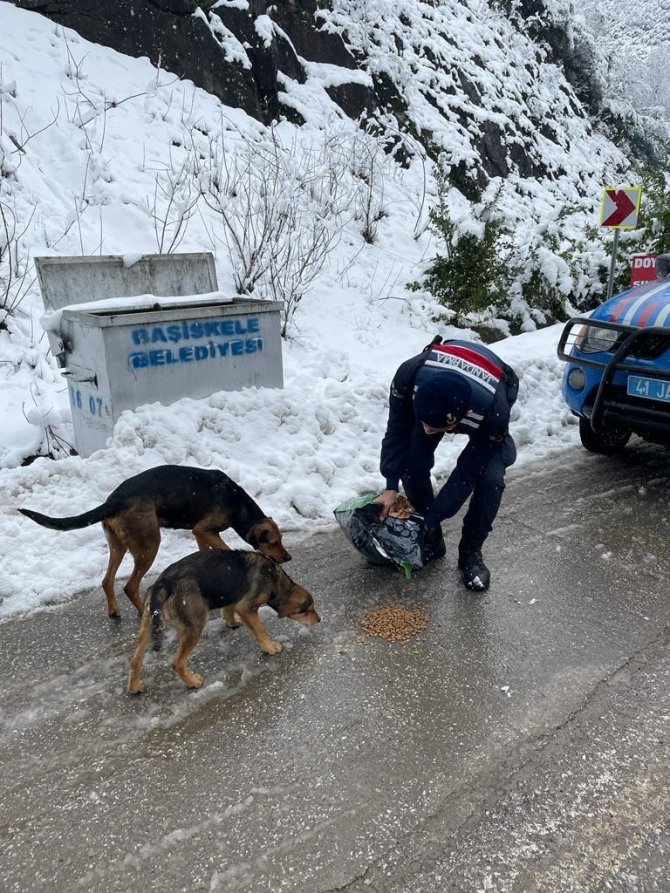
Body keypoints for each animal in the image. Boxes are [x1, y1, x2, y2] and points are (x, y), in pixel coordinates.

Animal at [17, 464, 292, 616]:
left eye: (281, 540)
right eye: (273, 542)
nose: (288, 557)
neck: (238, 504)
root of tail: (113, 501)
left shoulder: (200, 535)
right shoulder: (204, 530)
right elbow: (223, 547)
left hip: (118, 545)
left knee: (107, 580)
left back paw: (114, 611)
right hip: (149, 545)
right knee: (129, 586)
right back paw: (144, 613)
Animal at [129, 548, 322, 692]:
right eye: (308, 610)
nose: (319, 620)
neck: (275, 579)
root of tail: (164, 583)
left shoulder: (234, 597)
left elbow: (229, 610)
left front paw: (232, 622)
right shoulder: (246, 607)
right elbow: (260, 629)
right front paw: (270, 647)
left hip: (147, 624)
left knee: (135, 659)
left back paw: (135, 686)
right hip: (195, 625)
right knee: (177, 663)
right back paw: (192, 682)